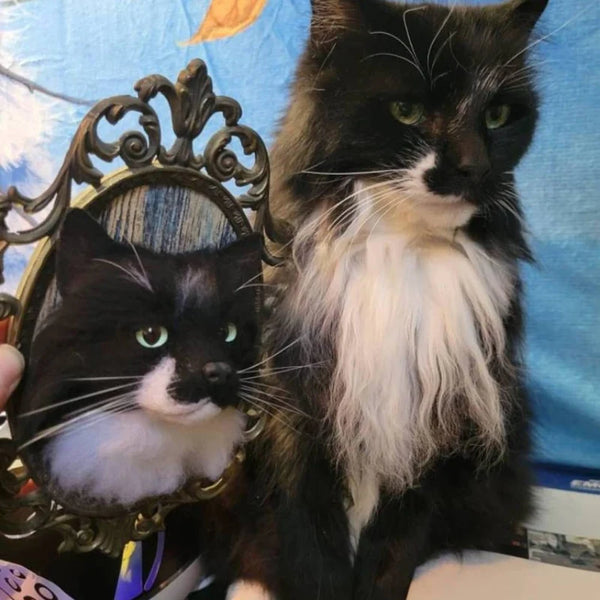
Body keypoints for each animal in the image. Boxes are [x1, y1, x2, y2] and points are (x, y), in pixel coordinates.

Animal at [201, 1, 549, 599]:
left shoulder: (435, 411)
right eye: (407, 110)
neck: (398, 250)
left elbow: (396, 541)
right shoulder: (292, 413)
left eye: (499, 115)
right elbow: (308, 536)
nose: (474, 167)